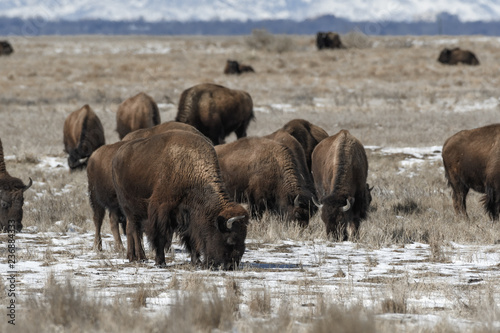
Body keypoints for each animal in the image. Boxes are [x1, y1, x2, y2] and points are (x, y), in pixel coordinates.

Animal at [111, 130, 248, 268]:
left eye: (244, 237)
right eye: (231, 240)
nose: (231, 265)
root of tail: (118, 155)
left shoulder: (189, 216)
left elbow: (191, 238)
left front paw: (196, 262)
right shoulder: (160, 209)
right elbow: (160, 236)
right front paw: (160, 262)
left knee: (132, 229)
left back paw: (136, 257)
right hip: (130, 209)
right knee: (133, 230)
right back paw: (137, 257)